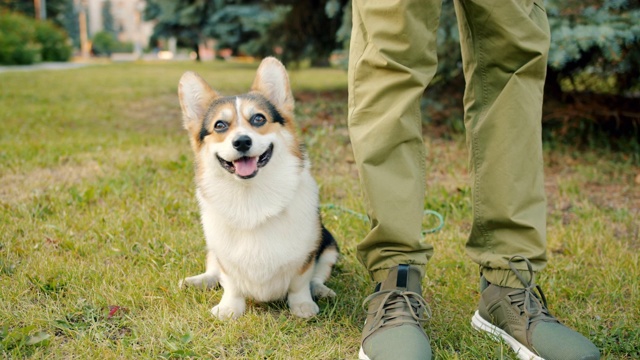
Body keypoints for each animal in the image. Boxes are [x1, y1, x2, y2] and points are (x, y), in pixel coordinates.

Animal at [175, 57, 338, 320]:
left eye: (258, 119)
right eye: (220, 125)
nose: (242, 141)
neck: (250, 194)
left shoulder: (307, 253)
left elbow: (300, 282)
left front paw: (302, 305)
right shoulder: (224, 255)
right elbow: (230, 282)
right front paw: (229, 308)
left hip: (330, 244)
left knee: (318, 275)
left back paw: (320, 290)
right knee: (213, 271)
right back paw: (198, 281)